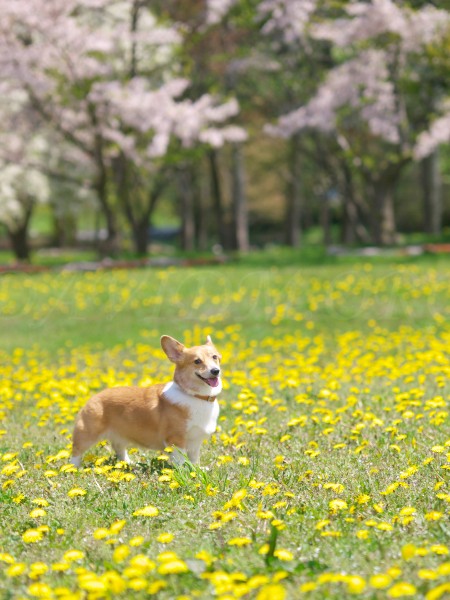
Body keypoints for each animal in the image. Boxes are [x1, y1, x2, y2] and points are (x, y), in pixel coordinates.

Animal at [70, 336, 221, 466]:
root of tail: (94, 396)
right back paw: (74, 468)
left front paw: (197, 469)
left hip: (120, 435)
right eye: (197, 361)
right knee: (76, 451)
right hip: (87, 434)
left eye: (215, 357)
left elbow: (194, 459)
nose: (216, 371)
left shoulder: (195, 441)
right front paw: (185, 472)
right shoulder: (175, 439)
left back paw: (128, 463)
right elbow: (180, 461)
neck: (196, 396)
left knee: (119, 448)